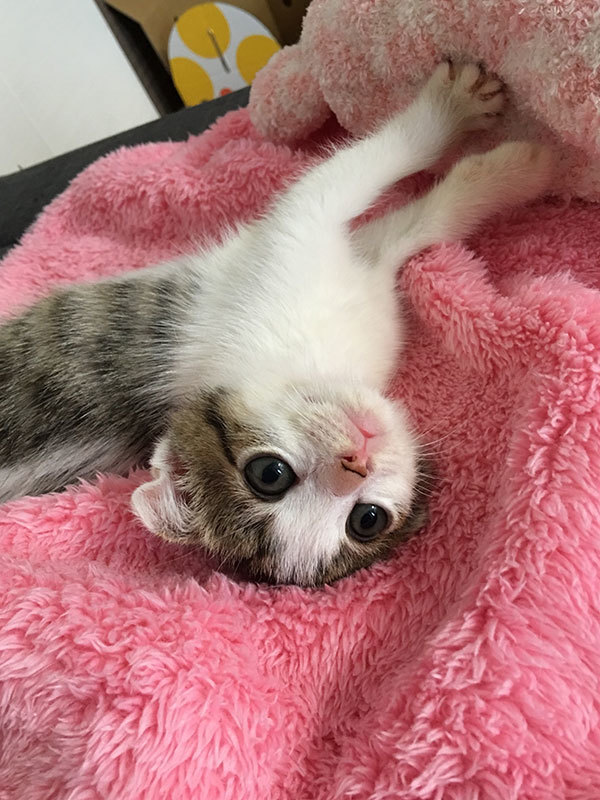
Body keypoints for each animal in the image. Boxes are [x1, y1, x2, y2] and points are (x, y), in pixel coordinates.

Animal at [0, 61, 553, 586]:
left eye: (366, 518)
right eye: (270, 474)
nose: (358, 463)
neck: (312, 362)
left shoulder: (349, 272)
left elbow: (417, 224)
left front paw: (507, 176)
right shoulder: (294, 229)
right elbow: (360, 166)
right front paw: (463, 114)